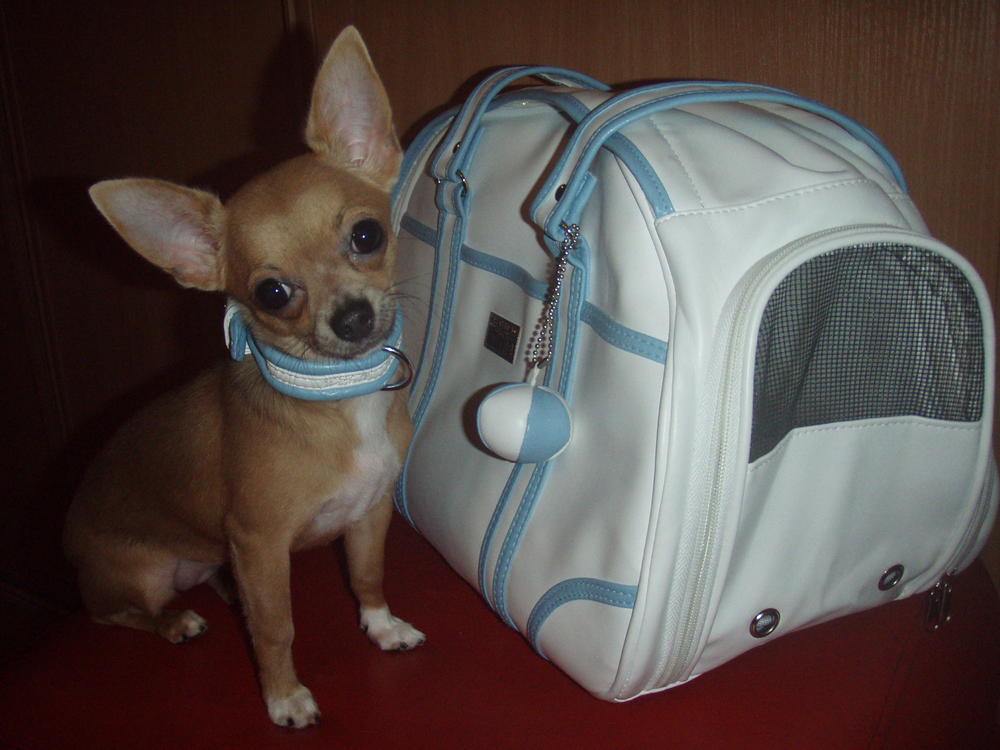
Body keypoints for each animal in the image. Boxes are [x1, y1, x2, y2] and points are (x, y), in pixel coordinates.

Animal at [63, 26, 424, 729]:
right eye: (272, 293)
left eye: (368, 234)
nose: (353, 316)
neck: (337, 401)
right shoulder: (261, 545)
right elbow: (277, 628)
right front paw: (284, 697)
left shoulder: (369, 513)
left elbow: (367, 577)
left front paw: (382, 626)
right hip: (138, 574)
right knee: (120, 613)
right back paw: (178, 621)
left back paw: (225, 589)